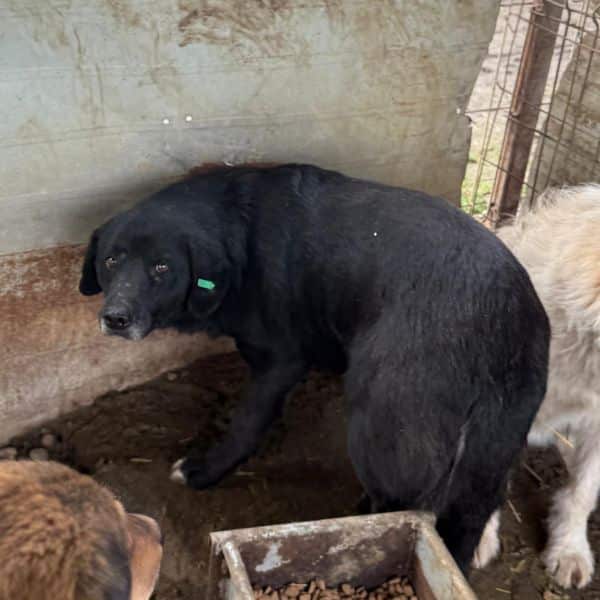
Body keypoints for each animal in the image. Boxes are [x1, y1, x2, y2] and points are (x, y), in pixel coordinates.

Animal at [79, 163, 549, 574]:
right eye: (111, 260)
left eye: (162, 267)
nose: (115, 318)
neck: (237, 237)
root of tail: (497, 321)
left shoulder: (280, 360)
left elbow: (246, 423)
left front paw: (203, 471)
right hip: (494, 444)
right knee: (467, 516)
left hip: (382, 423)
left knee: (400, 505)